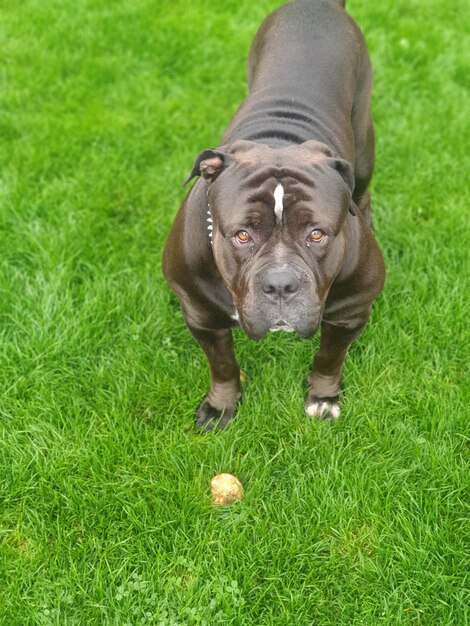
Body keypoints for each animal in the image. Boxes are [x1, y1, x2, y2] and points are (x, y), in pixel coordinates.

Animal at [163, 0, 384, 428]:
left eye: (317, 234)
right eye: (242, 235)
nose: (281, 284)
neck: (279, 142)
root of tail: (319, 5)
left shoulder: (349, 313)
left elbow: (330, 357)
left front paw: (323, 397)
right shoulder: (201, 316)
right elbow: (222, 364)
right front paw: (221, 406)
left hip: (364, 142)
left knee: (362, 190)